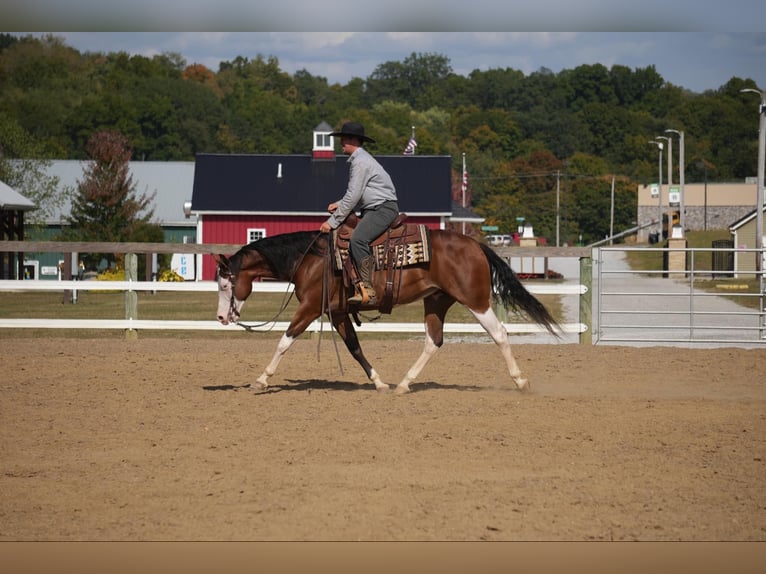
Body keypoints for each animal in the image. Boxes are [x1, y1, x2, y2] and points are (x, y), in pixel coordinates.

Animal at [213, 230, 560, 396]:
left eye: (226, 283)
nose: (221, 318)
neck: (310, 259)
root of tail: (476, 246)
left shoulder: (310, 308)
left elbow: (285, 340)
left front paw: (261, 380)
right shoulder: (339, 313)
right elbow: (354, 348)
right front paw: (379, 383)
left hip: (475, 300)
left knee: (499, 333)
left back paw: (521, 382)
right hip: (437, 301)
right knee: (433, 341)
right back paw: (404, 383)